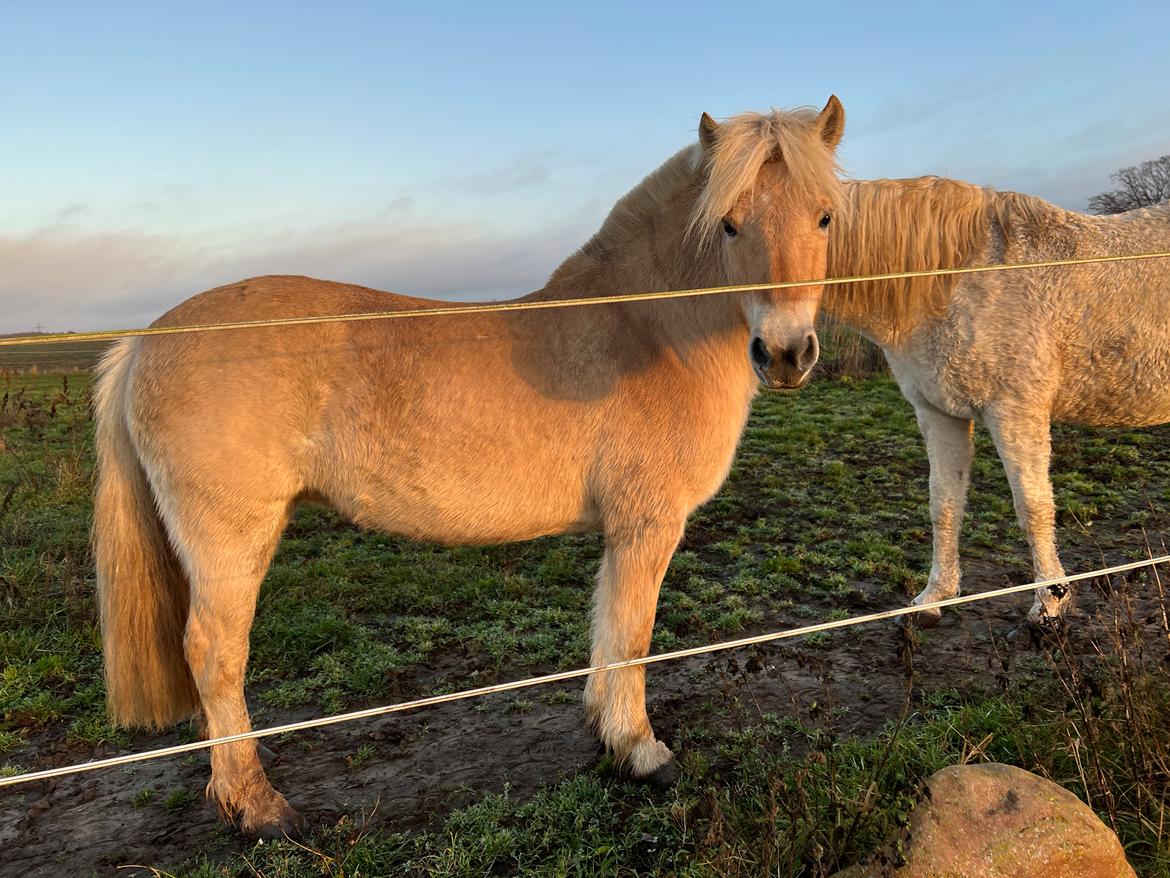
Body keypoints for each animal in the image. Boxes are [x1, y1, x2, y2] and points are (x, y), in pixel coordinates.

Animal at [88, 97, 842, 838]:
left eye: (824, 216)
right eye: (729, 223)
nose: (785, 353)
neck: (644, 332)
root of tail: (145, 341)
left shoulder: (621, 531)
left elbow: (606, 630)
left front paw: (607, 733)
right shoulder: (647, 524)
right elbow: (633, 634)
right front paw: (641, 752)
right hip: (229, 540)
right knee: (214, 654)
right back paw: (257, 806)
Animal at [823, 173, 1170, 627]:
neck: (950, 278)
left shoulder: (1015, 412)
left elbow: (1033, 507)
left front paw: (1050, 603)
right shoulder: (939, 413)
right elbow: (944, 503)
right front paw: (933, 598)